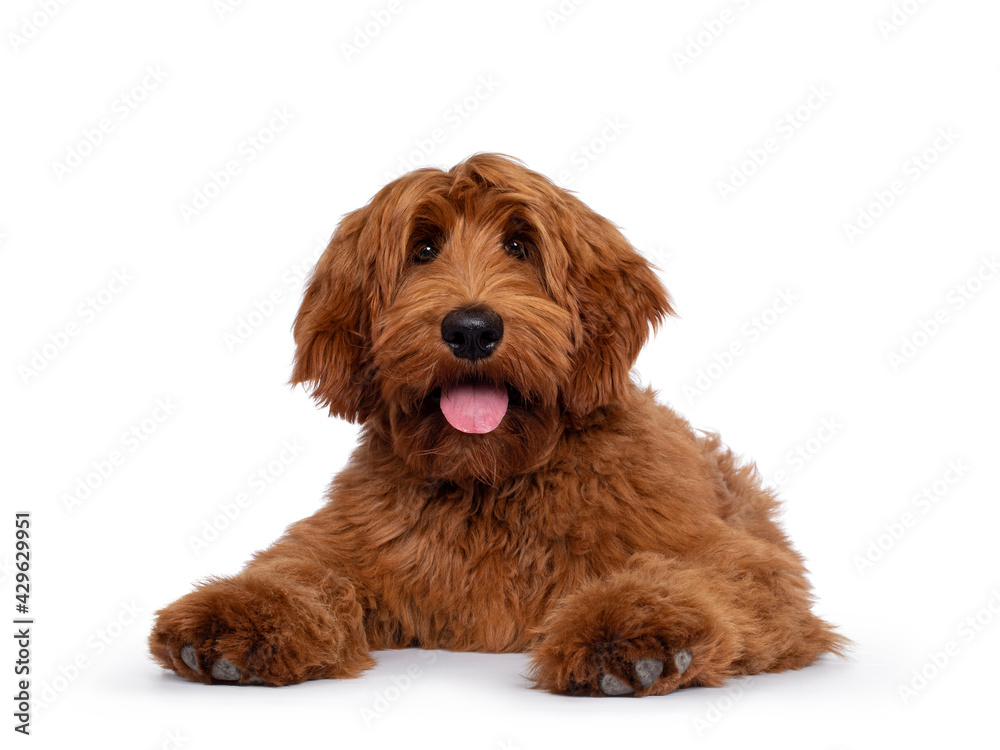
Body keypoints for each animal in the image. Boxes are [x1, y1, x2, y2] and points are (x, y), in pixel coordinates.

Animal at [150, 154, 844, 700]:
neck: (491, 482)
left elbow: (703, 574)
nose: (471, 329)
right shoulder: (353, 542)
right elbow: (297, 568)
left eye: (520, 245)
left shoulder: (737, 560)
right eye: (423, 249)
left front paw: (634, 626)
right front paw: (239, 615)